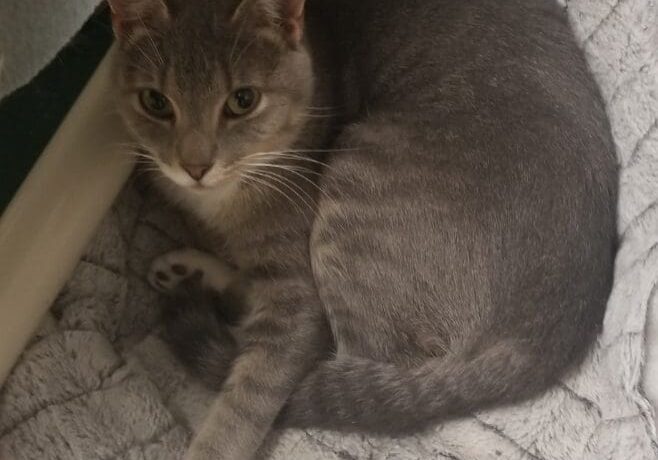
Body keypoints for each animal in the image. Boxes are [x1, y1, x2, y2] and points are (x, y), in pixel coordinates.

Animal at [107, 0, 616, 458]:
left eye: (241, 102)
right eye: (156, 103)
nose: (194, 165)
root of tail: (541, 340)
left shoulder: (297, 287)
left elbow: (252, 392)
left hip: (357, 184)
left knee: (340, 355)